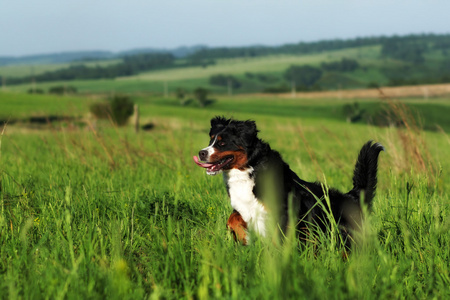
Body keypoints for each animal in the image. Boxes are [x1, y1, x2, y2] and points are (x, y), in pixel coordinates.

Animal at [193, 116, 384, 246]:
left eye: (222, 143)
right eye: (211, 140)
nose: (201, 153)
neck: (249, 170)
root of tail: (352, 196)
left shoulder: (284, 212)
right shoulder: (245, 207)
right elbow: (232, 218)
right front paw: (243, 237)